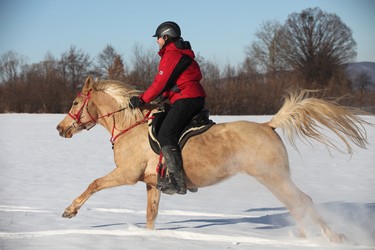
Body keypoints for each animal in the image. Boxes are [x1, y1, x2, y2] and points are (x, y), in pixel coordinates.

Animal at [55, 75, 370, 242]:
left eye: (75, 102)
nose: (60, 129)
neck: (130, 127)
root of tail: (268, 125)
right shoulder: (151, 183)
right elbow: (150, 216)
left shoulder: (127, 174)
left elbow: (94, 183)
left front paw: (70, 211)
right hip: (274, 178)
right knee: (297, 204)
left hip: (273, 176)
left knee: (302, 201)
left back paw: (331, 238)